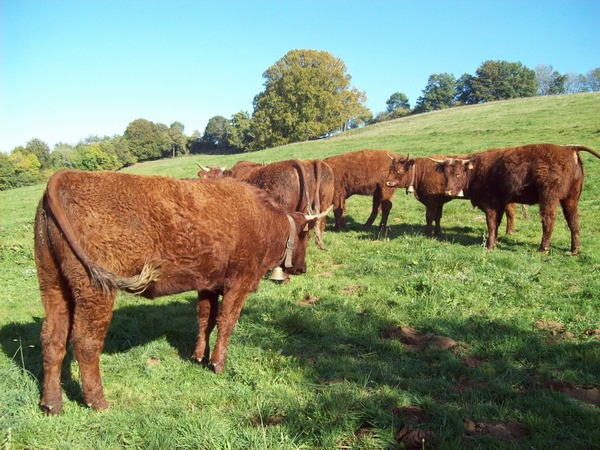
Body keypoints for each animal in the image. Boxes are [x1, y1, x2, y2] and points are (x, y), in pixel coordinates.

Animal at [35, 168, 330, 412]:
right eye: (305, 234)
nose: (302, 268)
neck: (261, 218)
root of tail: (65, 177)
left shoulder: (208, 285)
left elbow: (205, 319)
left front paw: (199, 356)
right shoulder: (239, 283)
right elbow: (226, 321)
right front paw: (218, 364)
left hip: (53, 287)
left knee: (52, 340)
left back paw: (52, 404)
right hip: (95, 293)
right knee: (86, 343)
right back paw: (98, 402)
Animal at [384, 156, 520, 236]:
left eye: (398, 171)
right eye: (390, 169)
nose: (387, 182)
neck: (420, 172)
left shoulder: (431, 201)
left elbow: (429, 217)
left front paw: (428, 233)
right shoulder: (439, 201)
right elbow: (437, 217)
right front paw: (437, 232)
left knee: (510, 212)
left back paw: (509, 232)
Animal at [436, 143, 600, 253]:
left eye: (458, 174)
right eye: (445, 174)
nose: (448, 192)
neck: (477, 170)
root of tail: (569, 148)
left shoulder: (490, 204)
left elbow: (491, 223)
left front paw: (489, 246)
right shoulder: (501, 203)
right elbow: (498, 223)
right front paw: (495, 241)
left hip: (548, 197)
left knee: (548, 219)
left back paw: (543, 248)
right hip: (570, 198)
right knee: (573, 220)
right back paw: (574, 250)